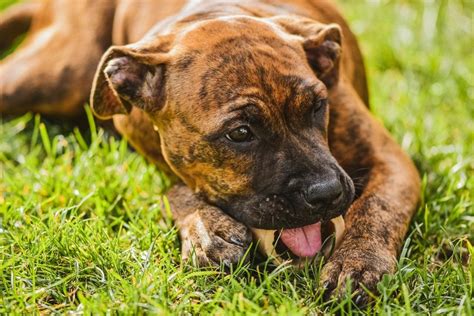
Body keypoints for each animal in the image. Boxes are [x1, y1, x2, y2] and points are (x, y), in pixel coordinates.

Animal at [1, 0, 420, 306]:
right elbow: (177, 189)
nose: (327, 192)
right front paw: (206, 228)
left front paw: (358, 264)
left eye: (318, 107)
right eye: (240, 133)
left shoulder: (389, 161)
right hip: (56, 73)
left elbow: (377, 209)